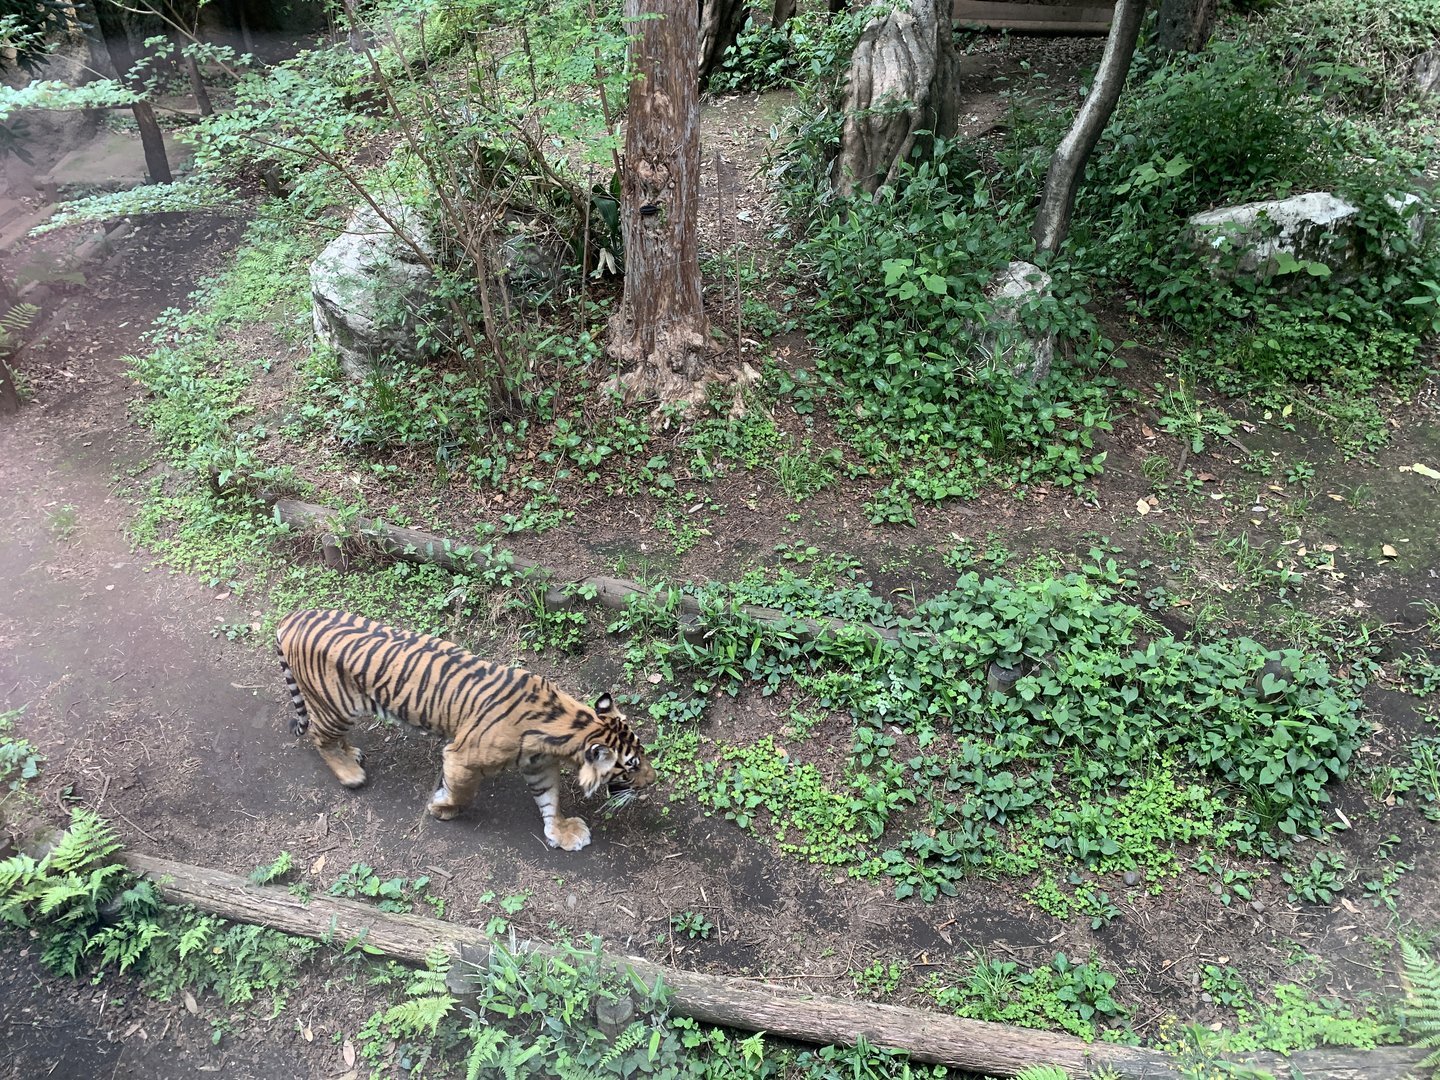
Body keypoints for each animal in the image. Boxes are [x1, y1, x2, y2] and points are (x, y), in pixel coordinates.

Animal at [274, 608, 655, 851]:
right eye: (631, 766)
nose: (653, 781)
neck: (570, 726)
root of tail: (292, 617)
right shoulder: (461, 757)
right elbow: (464, 791)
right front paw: (443, 807)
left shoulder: (539, 765)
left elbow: (550, 799)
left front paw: (561, 832)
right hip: (335, 706)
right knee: (319, 738)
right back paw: (349, 773)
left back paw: (351, 753)